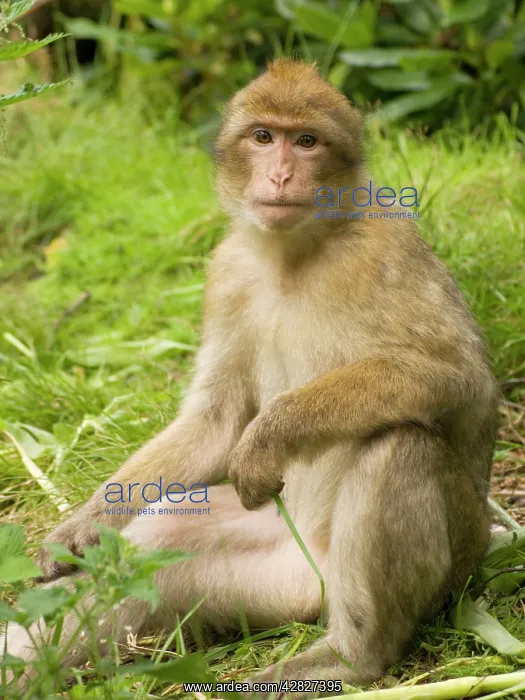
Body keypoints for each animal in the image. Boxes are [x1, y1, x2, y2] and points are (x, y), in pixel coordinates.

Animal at [4, 59, 500, 696]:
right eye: (264, 137)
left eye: (306, 141)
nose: (282, 173)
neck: (294, 254)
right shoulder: (227, 272)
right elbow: (214, 420)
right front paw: (83, 526)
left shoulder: (387, 245)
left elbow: (458, 375)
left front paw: (270, 433)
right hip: (268, 580)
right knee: (159, 539)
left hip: (433, 567)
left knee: (399, 441)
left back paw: (351, 657)